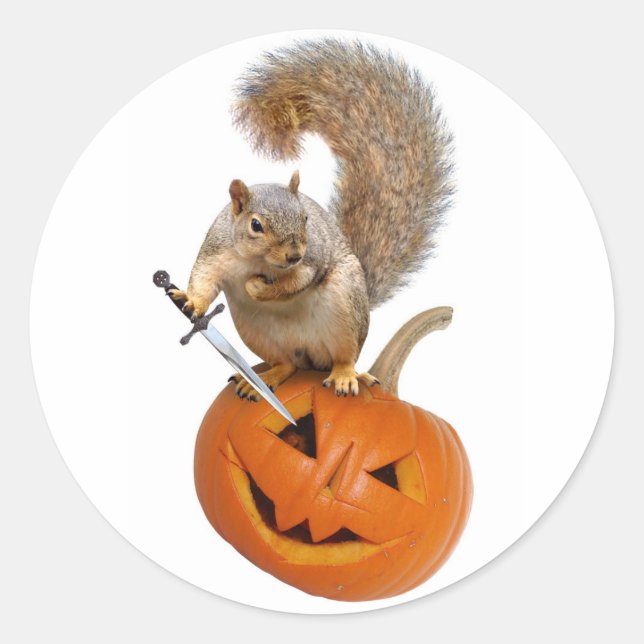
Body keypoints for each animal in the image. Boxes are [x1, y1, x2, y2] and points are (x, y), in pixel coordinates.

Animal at [170, 38, 454, 400]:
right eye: (256, 225)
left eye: (305, 217)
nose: (293, 254)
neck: (258, 261)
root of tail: (311, 357)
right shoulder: (217, 250)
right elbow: (204, 279)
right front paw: (189, 301)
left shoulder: (312, 260)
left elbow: (296, 281)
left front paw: (256, 286)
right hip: (255, 331)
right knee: (287, 363)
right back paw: (264, 380)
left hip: (345, 310)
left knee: (344, 356)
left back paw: (346, 377)